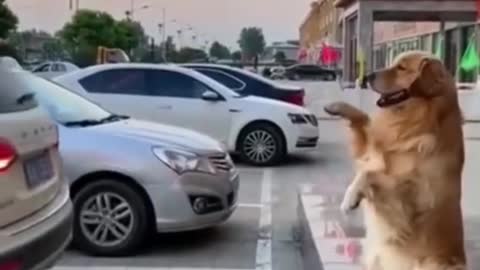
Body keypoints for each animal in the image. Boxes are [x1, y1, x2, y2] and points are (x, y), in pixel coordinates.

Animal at [324, 51, 466, 270]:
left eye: (401, 68)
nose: (368, 76)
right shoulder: (370, 151)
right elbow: (362, 119)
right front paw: (336, 106)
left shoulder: (409, 199)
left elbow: (369, 174)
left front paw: (350, 198)